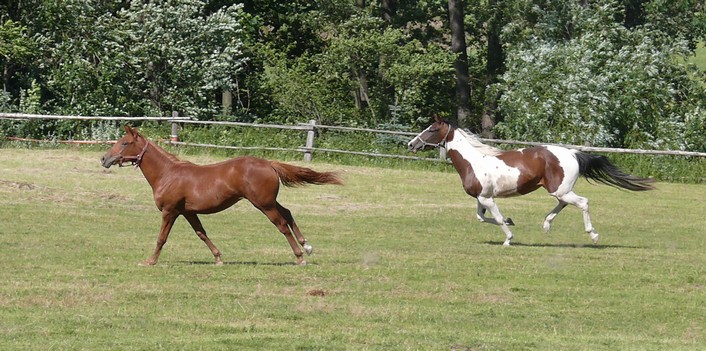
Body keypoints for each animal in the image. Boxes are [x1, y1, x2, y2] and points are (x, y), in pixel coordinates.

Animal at [101, 125, 340, 266]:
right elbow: (201, 233)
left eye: (124, 142)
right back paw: (307, 246)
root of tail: (269, 164)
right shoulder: (187, 212)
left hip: (263, 204)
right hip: (268, 201)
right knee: (288, 213)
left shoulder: (170, 211)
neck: (167, 174)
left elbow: (162, 238)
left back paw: (300, 257)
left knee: (281, 224)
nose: (104, 159)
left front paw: (150, 261)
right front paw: (218, 258)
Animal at [408, 116, 656, 248]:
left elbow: (496, 218)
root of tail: (574, 153)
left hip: (561, 190)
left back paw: (592, 234)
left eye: (432, 129)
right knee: (564, 204)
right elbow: (481, 218)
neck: (474, 161)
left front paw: (508, 239)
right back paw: (546, 224)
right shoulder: (481, 198)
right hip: (558, 190)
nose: (411, 144)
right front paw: (511, 221)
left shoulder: (488, 198)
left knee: (583, 202)